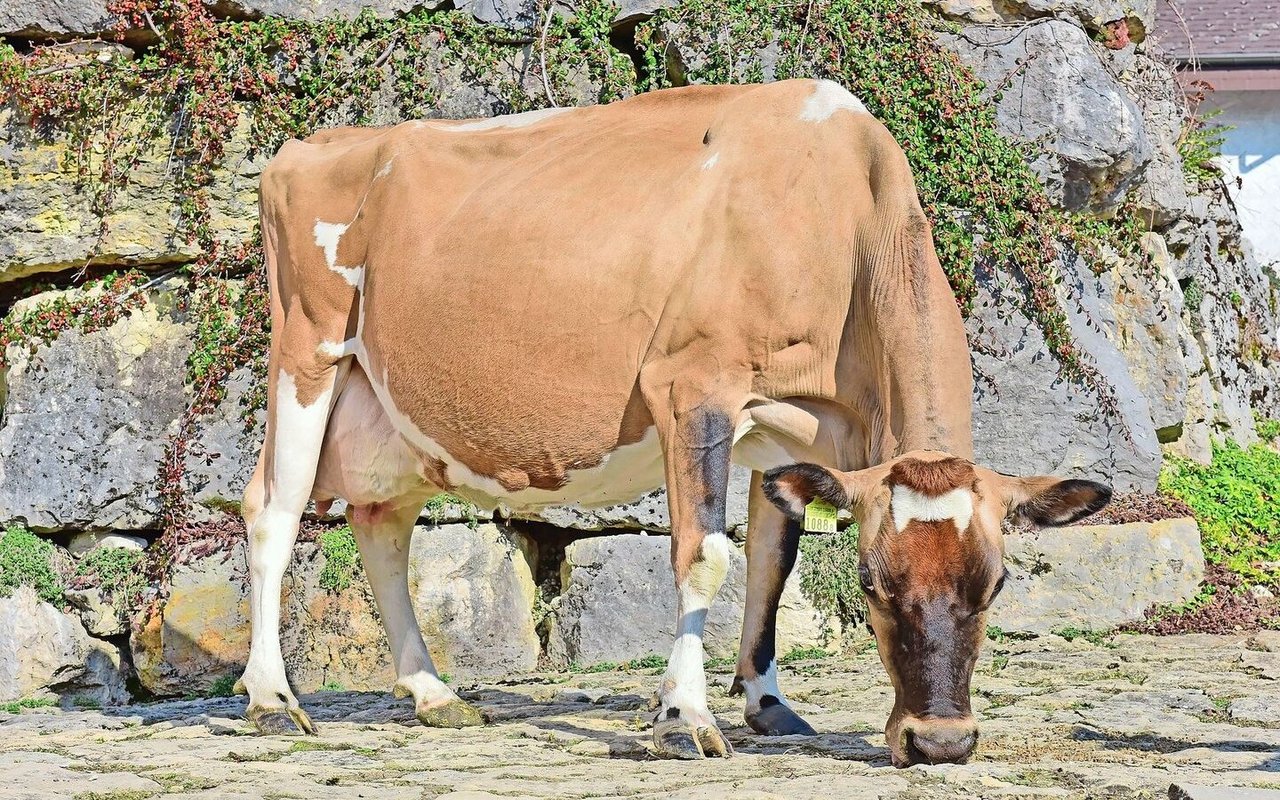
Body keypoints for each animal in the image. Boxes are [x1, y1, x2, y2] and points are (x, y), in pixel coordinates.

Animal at [238, 78, 1111, 762]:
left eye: (995, 583)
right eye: (871, 581)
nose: (940, 743)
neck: (833, 213)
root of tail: (311, 145)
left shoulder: (795, 433)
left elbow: (772, 560)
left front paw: (766, 703)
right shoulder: (693, 385)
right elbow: (706, 555)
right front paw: (682, 716)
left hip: (391, 411)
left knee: (381, 526)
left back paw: (432, 692)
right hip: (307, 350)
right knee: (273, 511)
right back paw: (272, 700)